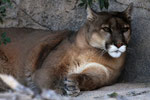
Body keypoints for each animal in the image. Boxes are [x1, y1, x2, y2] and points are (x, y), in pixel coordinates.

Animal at [0, 3, 132, 96]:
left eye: (125, 29)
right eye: (106, 29)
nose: (119, 44)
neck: (93, 51)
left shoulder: (103, 71)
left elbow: (89, 79)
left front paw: (72, 84)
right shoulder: (47, 69)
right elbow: (47, 80)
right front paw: (56, 91)